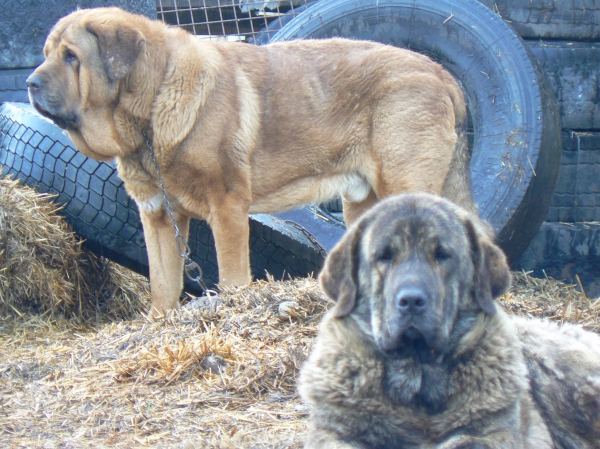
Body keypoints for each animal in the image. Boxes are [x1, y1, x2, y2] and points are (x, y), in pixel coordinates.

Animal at [27, 6, 474, 316]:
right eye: (47, 54)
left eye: (71, 57)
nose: (29, 83)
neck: (152, 106)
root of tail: (439, 71)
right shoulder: (158, 217)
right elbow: (162, 285)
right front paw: (159, 324)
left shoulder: (226, 208)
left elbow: (231, 277)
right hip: (362, 202)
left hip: (405, 185)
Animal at [304, 193, 600, 448]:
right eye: (384, 256)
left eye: (442, 255)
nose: (411, 300)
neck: (419, 379)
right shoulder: (333, 432)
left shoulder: (495, 435)